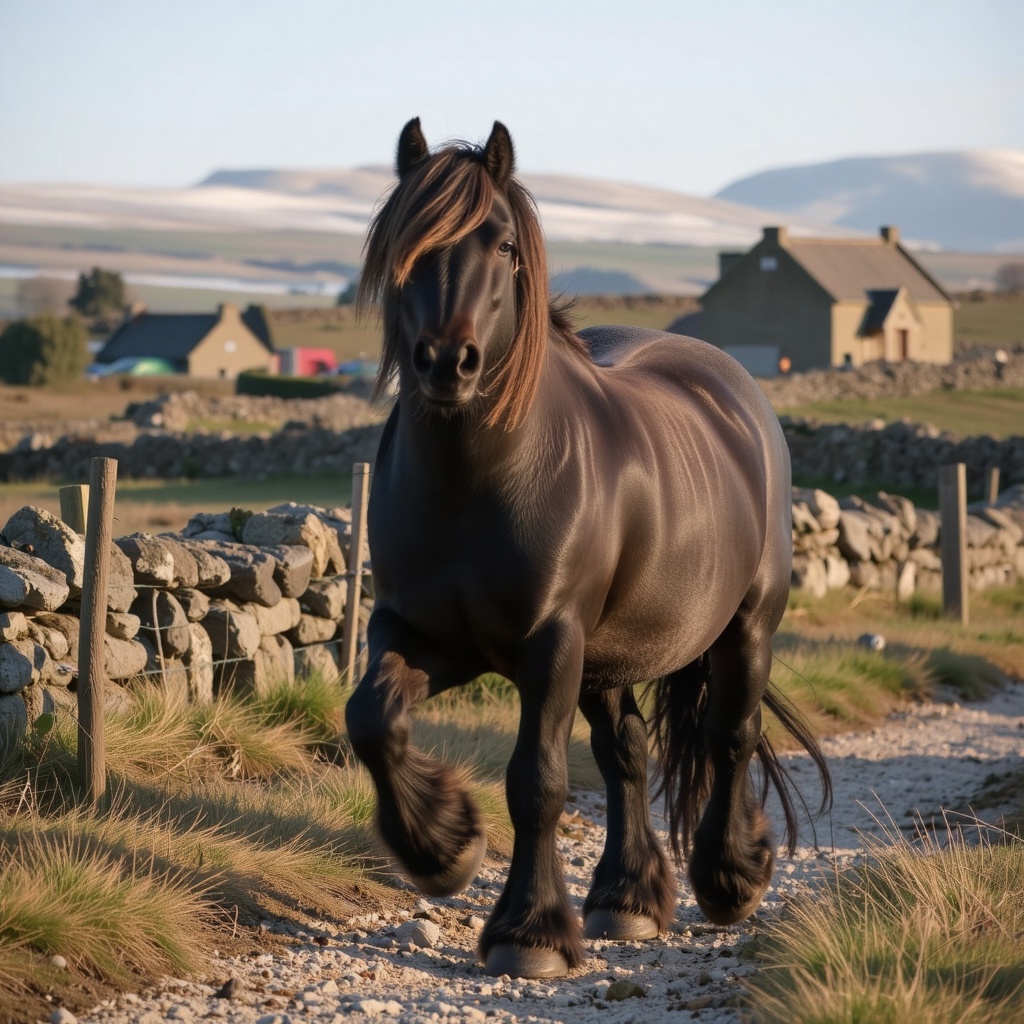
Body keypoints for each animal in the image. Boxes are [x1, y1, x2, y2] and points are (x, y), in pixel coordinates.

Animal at [345, 118, 831, 979]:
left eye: (502, 243)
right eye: (404, 243)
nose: (447, 362)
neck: (477, 479)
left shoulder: (550, 643)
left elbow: (536, 781)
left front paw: (528, 932)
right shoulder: (421, 633)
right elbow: (372, 718)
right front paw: (445, 846)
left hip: (743, 627)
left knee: (728, 737)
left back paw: (729, 879)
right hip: (608, 657)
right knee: (627, 751)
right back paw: (627, 897)